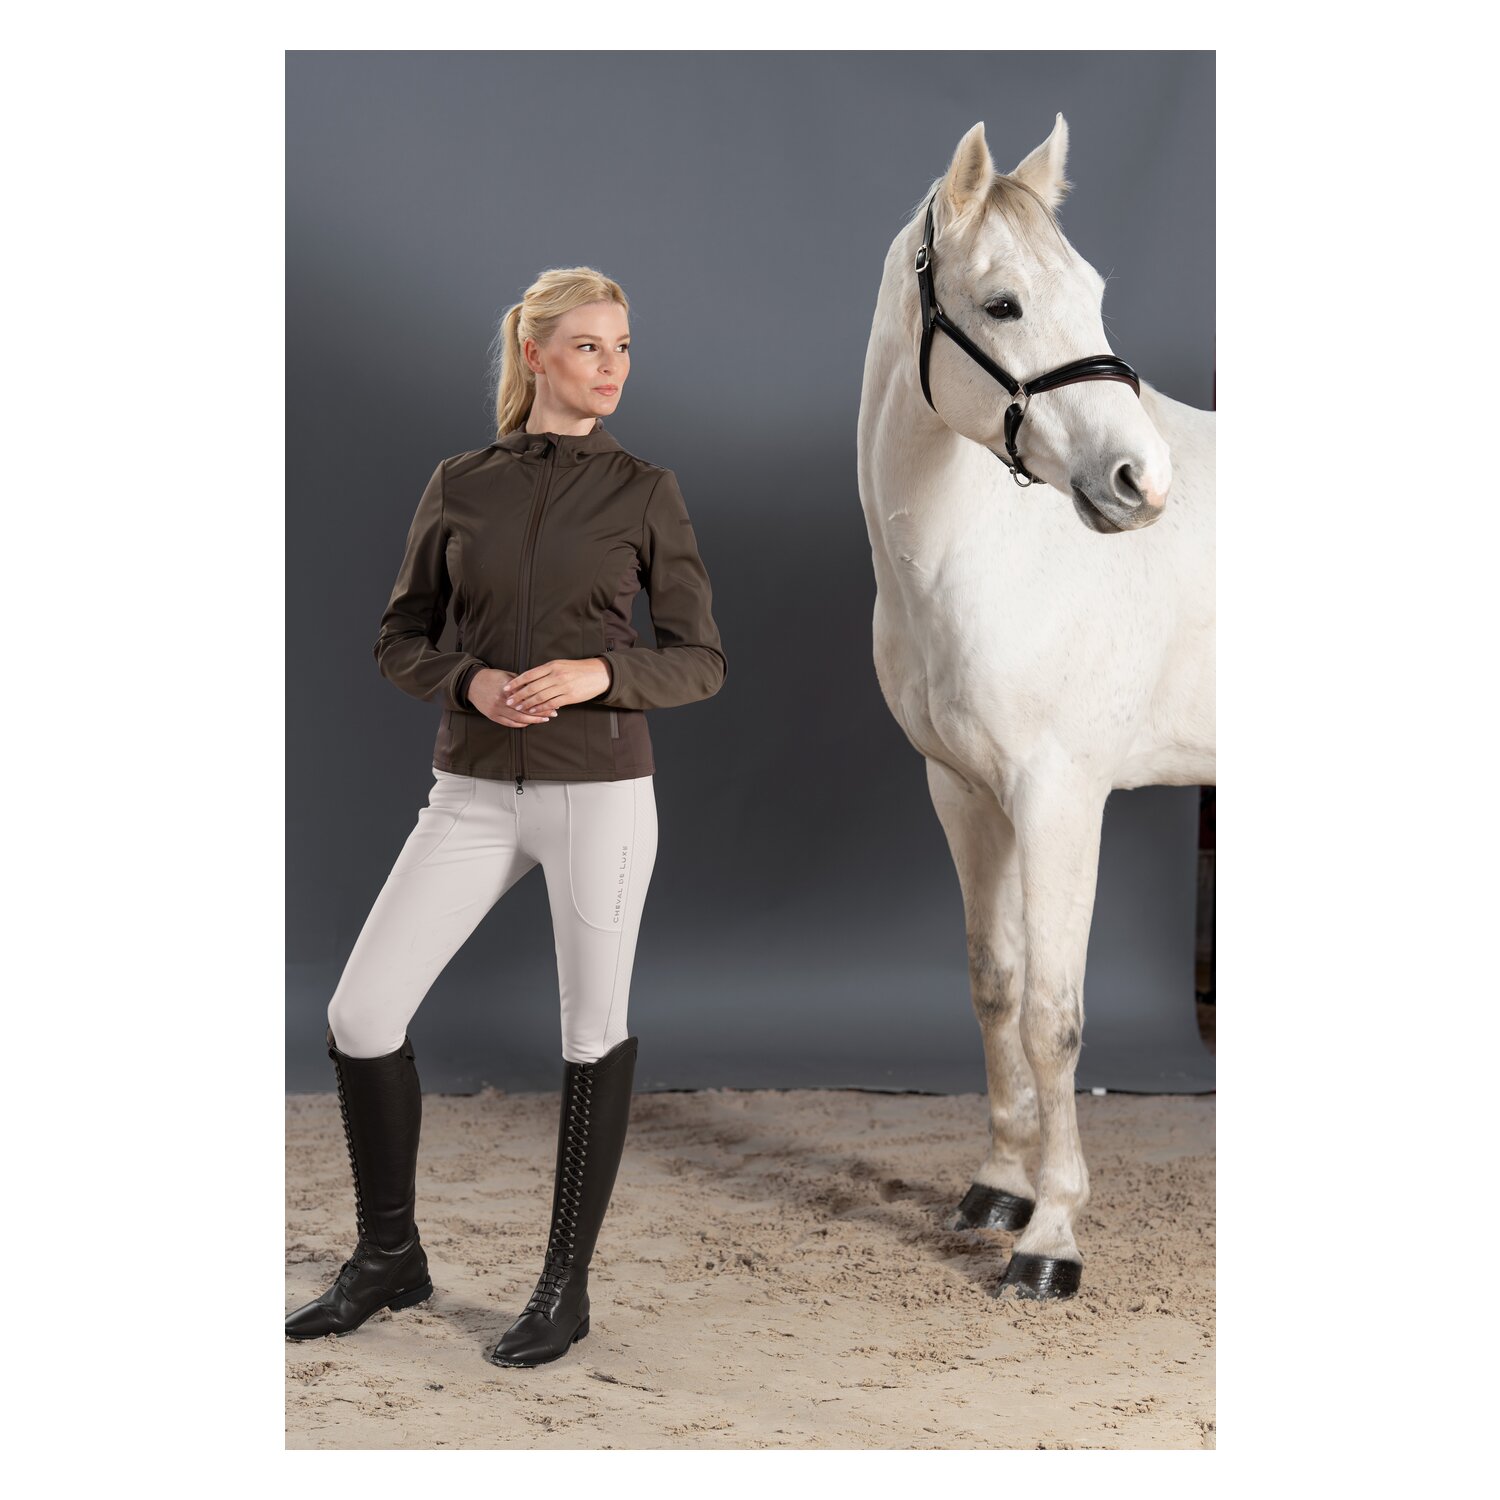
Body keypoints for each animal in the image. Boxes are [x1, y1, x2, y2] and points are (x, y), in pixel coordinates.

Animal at [856, 115, 1215, 1298]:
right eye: (1004, 304)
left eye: (1094, 291)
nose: (1143, 482)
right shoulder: (965, 793)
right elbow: (998, 985)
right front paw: (999, 1188)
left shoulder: (1064, 799)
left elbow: (1058, 1015)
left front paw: (1051, 1237)